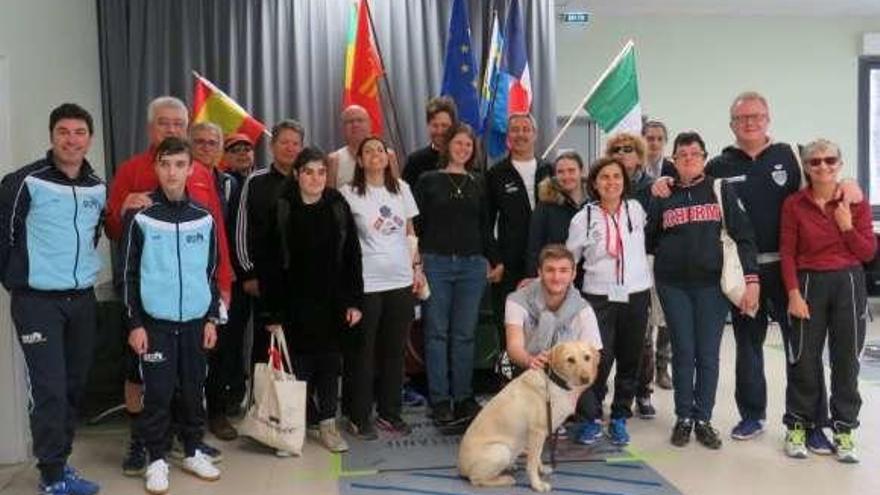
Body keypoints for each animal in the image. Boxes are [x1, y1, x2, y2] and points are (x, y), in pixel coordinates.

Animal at [460, 342, 600, 494]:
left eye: (587, 357)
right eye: (570, 359)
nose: (586, 379)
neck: (554, 382)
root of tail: (460, 468)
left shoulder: (540, 434)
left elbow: (537, 457)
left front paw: (542, 469)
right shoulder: (537, 432)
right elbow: (532, 463)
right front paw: (537, 485)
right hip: (501, 450)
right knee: (476, 479)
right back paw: (505, 479)